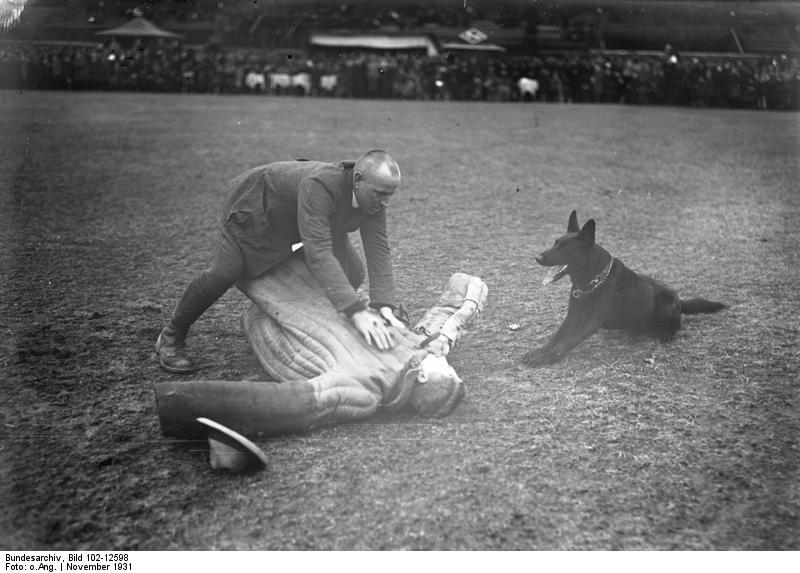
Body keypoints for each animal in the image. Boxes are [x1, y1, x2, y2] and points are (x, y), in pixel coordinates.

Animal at [520, 210, 728, 366]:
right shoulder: (572, 317)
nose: (537, 257)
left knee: (676, 323)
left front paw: (546, 358)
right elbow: (557, 337)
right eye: (555, 243)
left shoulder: (591, 323)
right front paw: (539, 352)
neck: (592, 281)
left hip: (667, 305)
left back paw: (666, 334)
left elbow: (567, 342)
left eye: (565, 248)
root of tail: (679, 300)